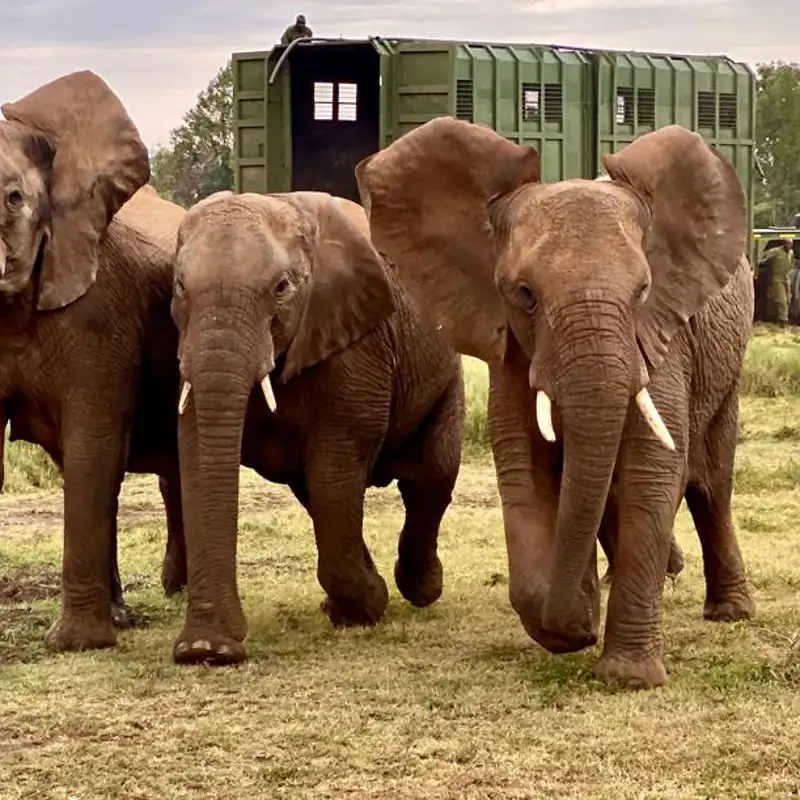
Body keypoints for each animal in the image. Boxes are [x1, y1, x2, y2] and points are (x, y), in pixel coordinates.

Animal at [172, 188, 466, 664]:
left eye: (281, 288)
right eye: (180, 287)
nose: (207, 653)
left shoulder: (356, 344)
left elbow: (336, 467)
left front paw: (368, 606)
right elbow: (199, 460)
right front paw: (206, 647)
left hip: (445, 373)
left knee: (429, 478)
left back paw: (421, 589)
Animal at [356, 117, 756, 688]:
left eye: (643, 290)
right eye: (524, 293)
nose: (579, 618)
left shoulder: (659, 344)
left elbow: (652, 472)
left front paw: (628, 677)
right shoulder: (509, 348)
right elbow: (526, 468)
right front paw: (572, 625)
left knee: (711, 484)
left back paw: (730, 612)